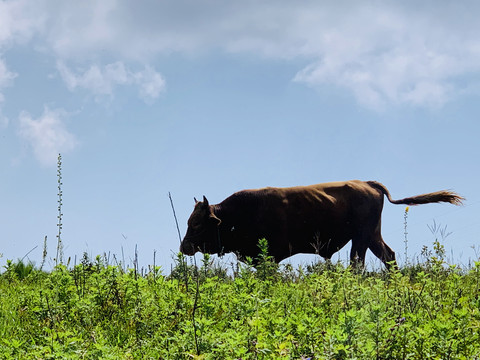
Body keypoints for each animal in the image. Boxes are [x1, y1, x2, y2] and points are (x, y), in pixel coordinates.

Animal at [178, 180, 464, 268]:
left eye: (198, 224)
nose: (184, 248)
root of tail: (368, 184)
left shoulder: (269, 257)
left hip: (361, 238)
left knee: (358, 263)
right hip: (372, 236)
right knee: (388, 255)